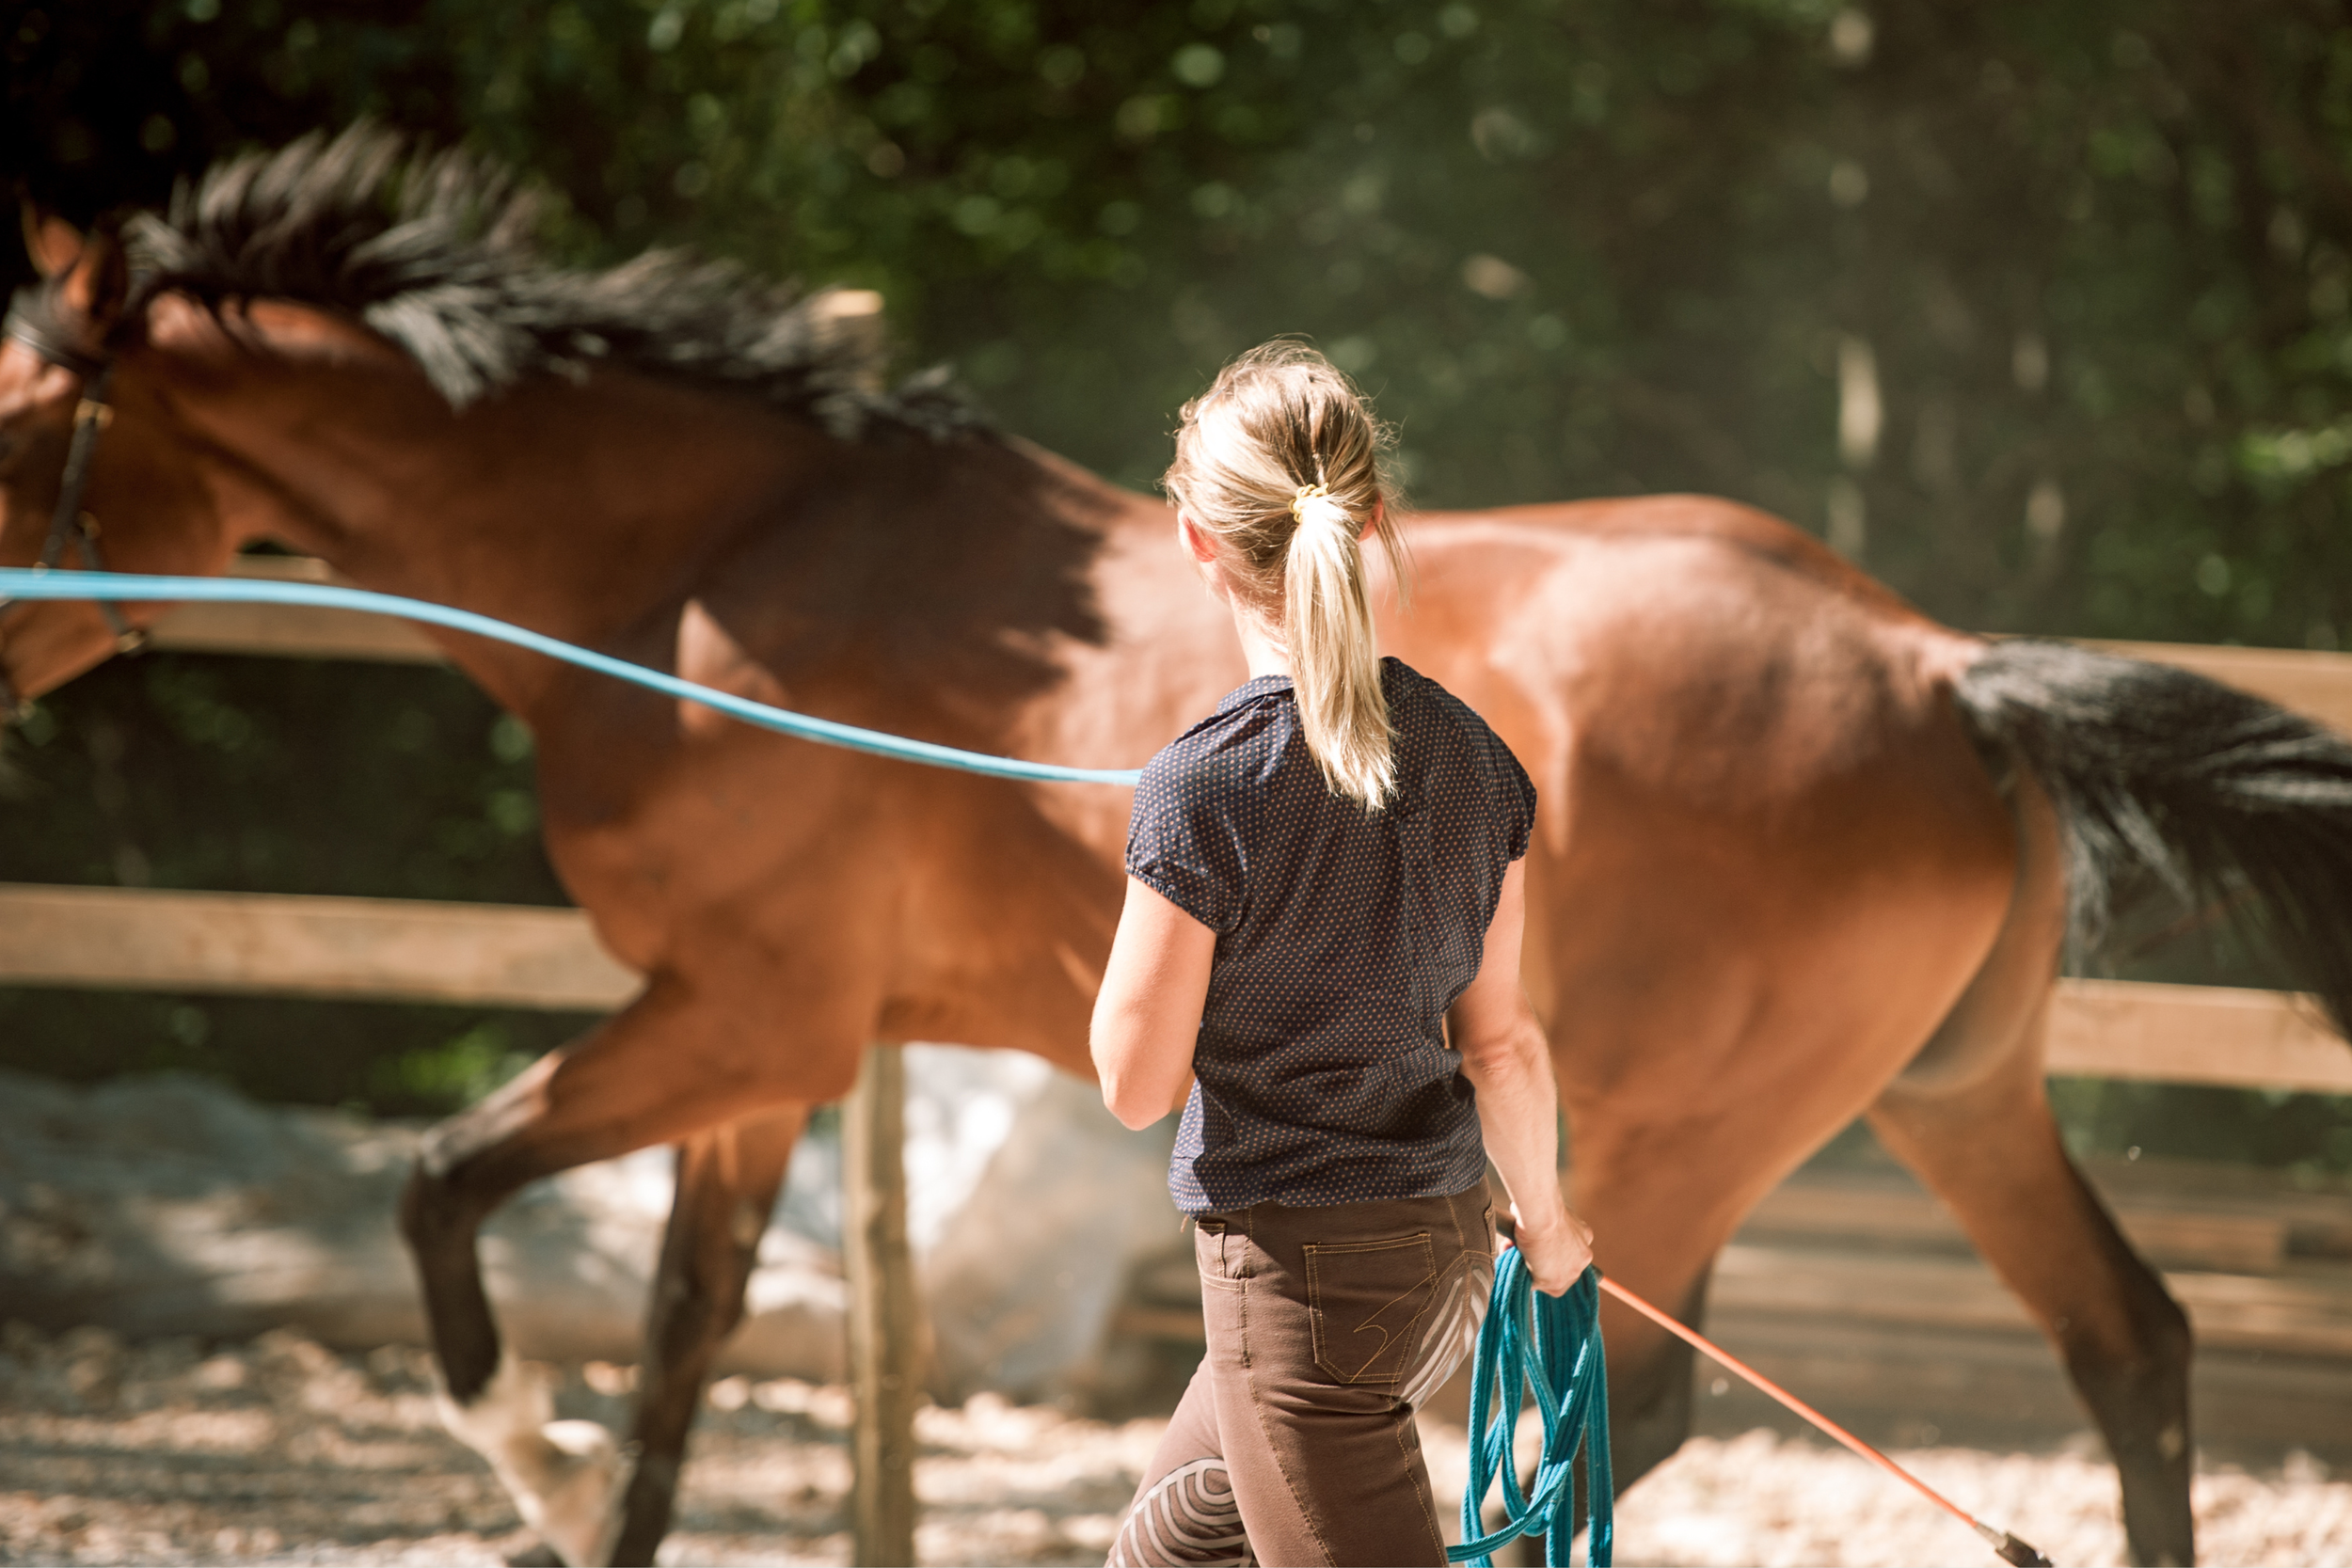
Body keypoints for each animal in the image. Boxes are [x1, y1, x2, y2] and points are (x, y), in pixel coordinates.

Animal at [8, 128, 2352, 1568]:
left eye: (32, 424)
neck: (700, 571)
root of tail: (1929, 662)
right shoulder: (759, 1055)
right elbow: (674, 1342)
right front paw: (605, 1495)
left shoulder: (739, 1017)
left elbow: (443, 1198)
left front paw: (548, 1476)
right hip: (1950, 1094)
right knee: (2129, 1347)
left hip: (1666, 1142)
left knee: (1619, 1410)